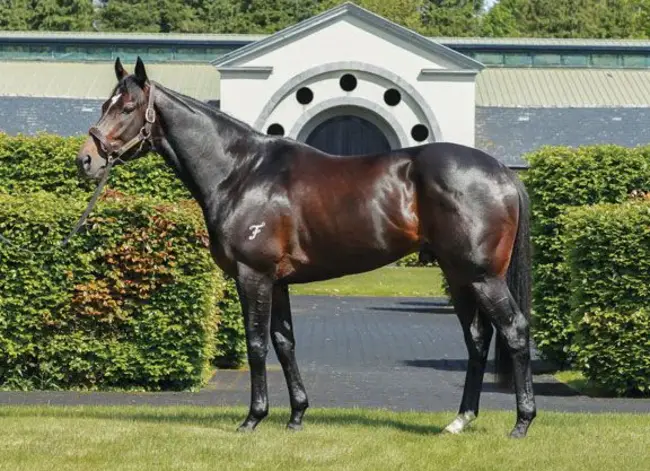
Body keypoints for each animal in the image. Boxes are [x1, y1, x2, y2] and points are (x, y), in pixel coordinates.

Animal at [76, 58, 536, 438]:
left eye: (127, 108)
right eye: (104, 104)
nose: (86, 160)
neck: (241, 172)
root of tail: (502, 173)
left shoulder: (253, 276)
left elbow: (257, 344)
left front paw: (253, 418)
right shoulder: (277, 281)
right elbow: (284, 343)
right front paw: (297, 415)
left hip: (482, 276)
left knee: (514, 331)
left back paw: (522, 423)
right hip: (457, 276)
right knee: (476, 340)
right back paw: (459, 421)